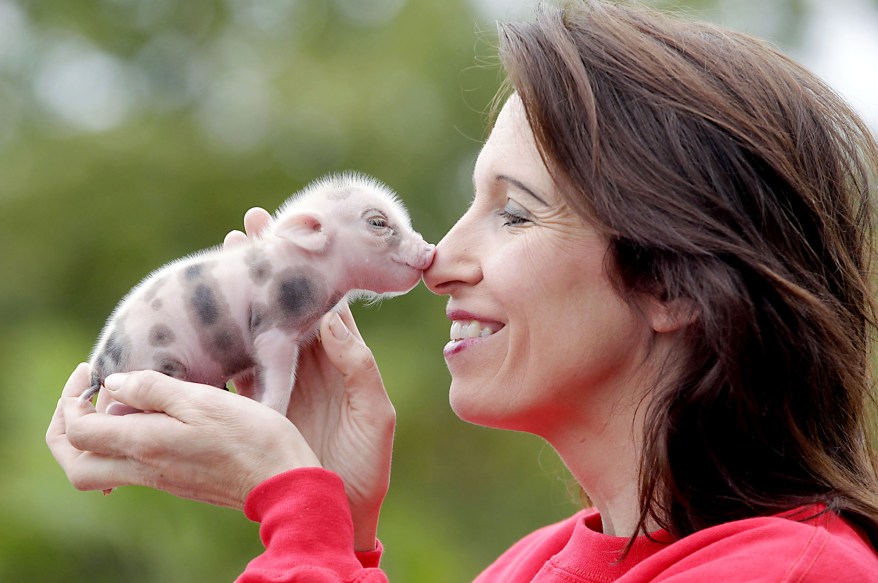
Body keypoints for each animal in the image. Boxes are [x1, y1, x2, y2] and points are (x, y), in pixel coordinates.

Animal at [81, 173, 436, 416]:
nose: (431, 249)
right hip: (159, 365)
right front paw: (272, 411)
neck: (315, 270)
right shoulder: (272, 329)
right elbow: (279, 377)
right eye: (378, 222)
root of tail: (99, 367)